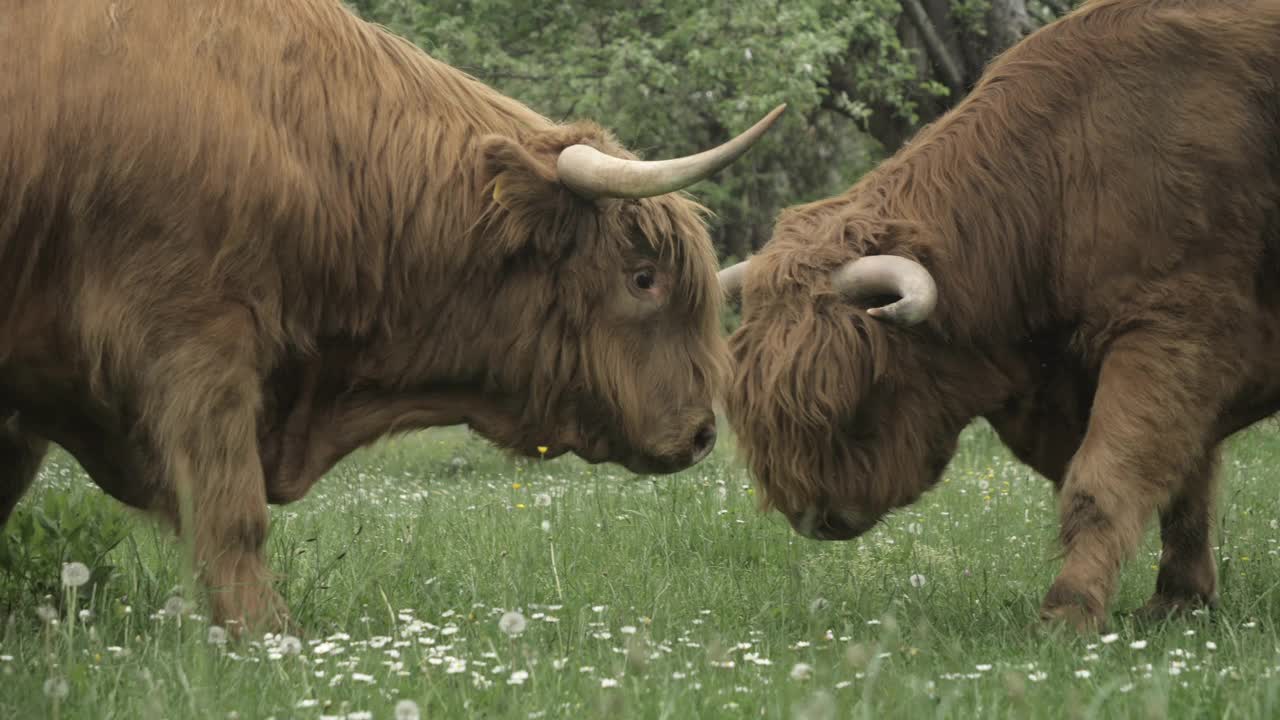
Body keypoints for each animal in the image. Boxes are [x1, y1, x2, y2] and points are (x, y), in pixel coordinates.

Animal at [721, 0, 1280, 627]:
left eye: (853, 406)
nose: (813, 517)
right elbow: (1185, 485)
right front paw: (1179, 600)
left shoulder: (1173, 329)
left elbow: (1106, 479)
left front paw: (1070, 610)